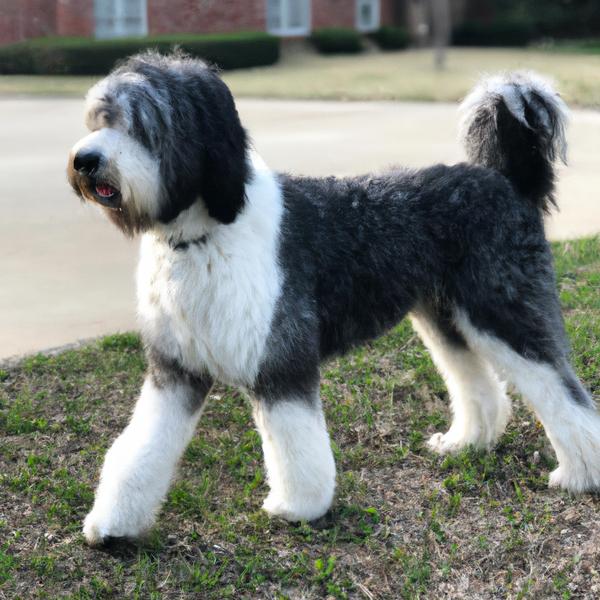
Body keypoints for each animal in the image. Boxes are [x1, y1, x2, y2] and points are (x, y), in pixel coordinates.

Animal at [68, 54, 596, 548]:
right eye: (100, 118)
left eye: (144, 123)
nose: (84, 161)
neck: (204, 234)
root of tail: (507, 181)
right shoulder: (175, 370)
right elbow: (141, 444)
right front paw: (113, 525)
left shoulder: (280, 365)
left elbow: (294, 446)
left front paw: (297, 507)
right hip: (447, 319)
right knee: (479, 387)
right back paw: (466, 442)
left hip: (504, 312)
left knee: (561, 391)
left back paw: (580, 474)